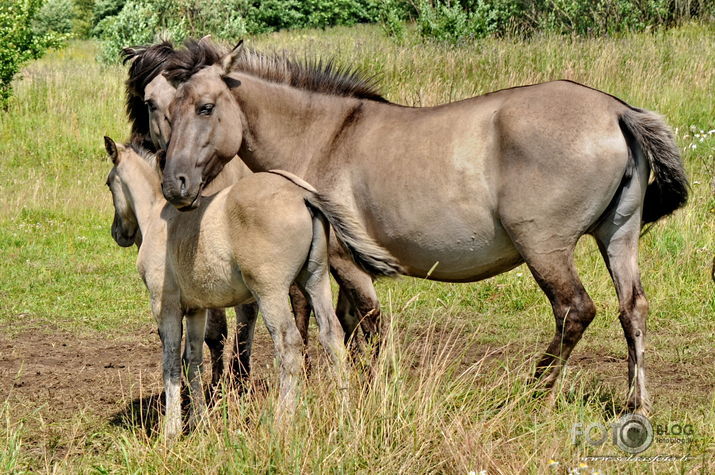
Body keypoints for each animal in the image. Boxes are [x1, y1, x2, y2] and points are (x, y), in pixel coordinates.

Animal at [104, 138, 402, 438]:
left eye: (108, 183)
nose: (118, 233)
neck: (159, 216)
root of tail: (302, 195)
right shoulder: (197, 309)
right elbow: (193, 361)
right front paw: (199, 422)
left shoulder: (164, 306)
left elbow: (172, 363)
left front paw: (172, 430)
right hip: (315, 280)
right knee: (332, 337)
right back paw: (344, 413)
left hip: (270, 293)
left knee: (289, 344)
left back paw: (282, 423)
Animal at [158, 39, 688, 414]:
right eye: (165, 111)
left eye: (206, 107)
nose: (174, 184)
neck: (326, 136)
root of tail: (615, 111)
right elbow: (349, 327)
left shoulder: (343, 263)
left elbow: (366, 326)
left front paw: (368, 392)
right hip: (618, 237)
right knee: (632, 310)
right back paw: (636, 405)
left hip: (546, 248)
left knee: (574, 310)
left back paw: (533, 392)